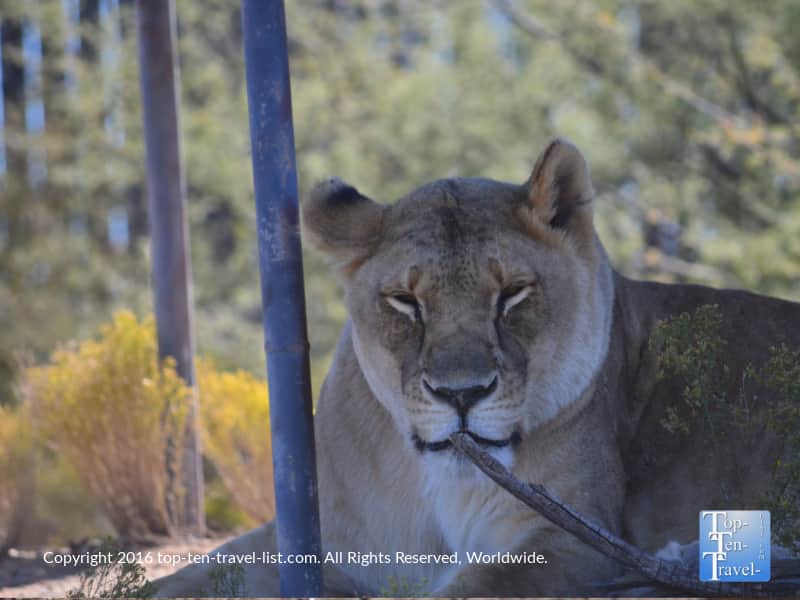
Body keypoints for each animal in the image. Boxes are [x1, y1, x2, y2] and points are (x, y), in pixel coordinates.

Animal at [155, 139, 800, 596]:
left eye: (512, 294)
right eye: (405, 302)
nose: (460, 394)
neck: (436, 487)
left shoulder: (574, 538)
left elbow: (477, 588)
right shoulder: (318, 538)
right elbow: (197, 573)